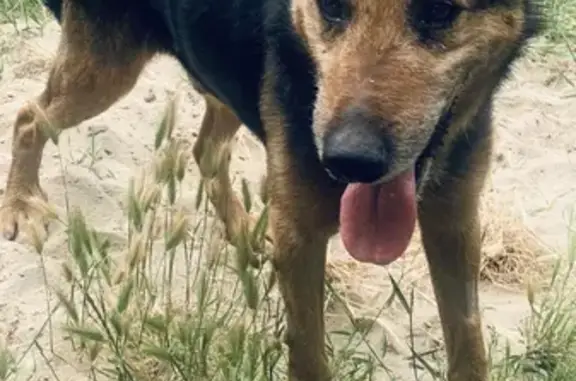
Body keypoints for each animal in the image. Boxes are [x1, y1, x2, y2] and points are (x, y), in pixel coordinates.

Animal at [0, 0, 540, 378]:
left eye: (439, 10)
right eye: (332, 7)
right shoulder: (301, 235)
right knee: (29, 117)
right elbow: (308, 355)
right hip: (105, 71)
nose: (347, 162)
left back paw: (243, 232)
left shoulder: (454, 223)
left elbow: (468, 343)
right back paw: (20, 204)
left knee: (205, 151)